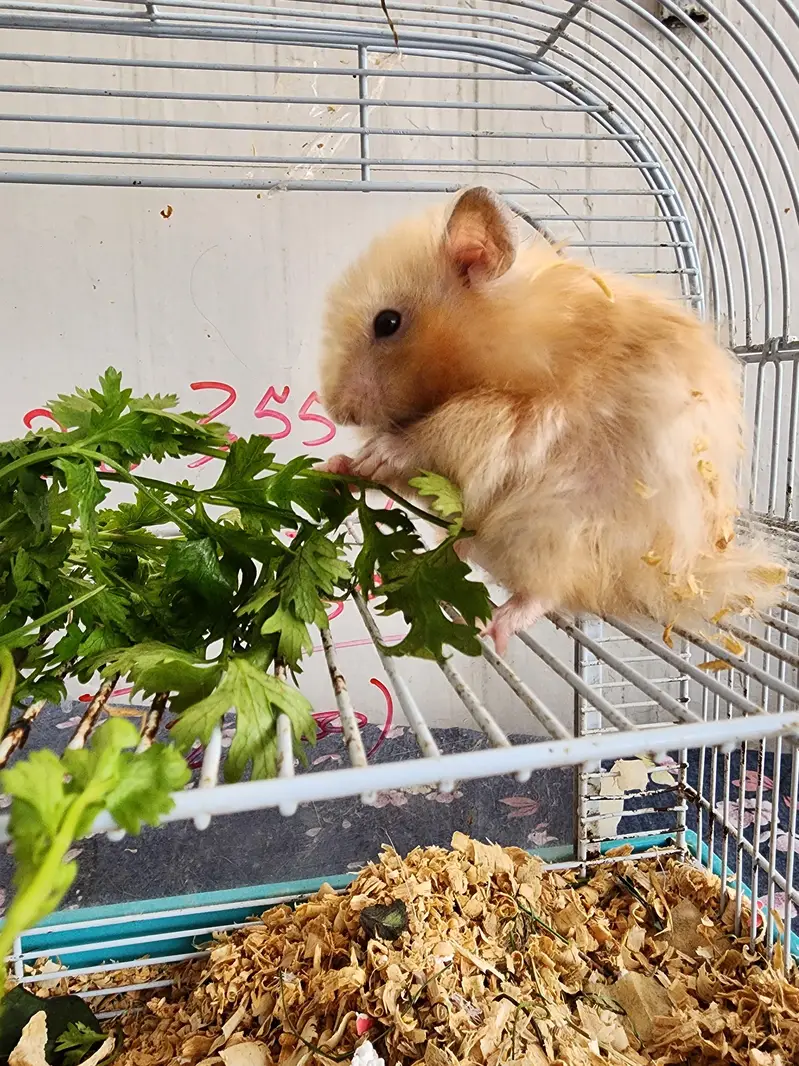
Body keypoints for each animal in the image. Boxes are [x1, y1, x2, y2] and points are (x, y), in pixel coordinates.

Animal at [318, 186, 786, 654]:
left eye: (388, 322)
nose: (337, 410)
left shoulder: (514, 419)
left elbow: (438, 438)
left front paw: (378, 453)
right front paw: (342, 464)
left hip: (556, 533)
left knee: (546, 592)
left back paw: (494, 628)